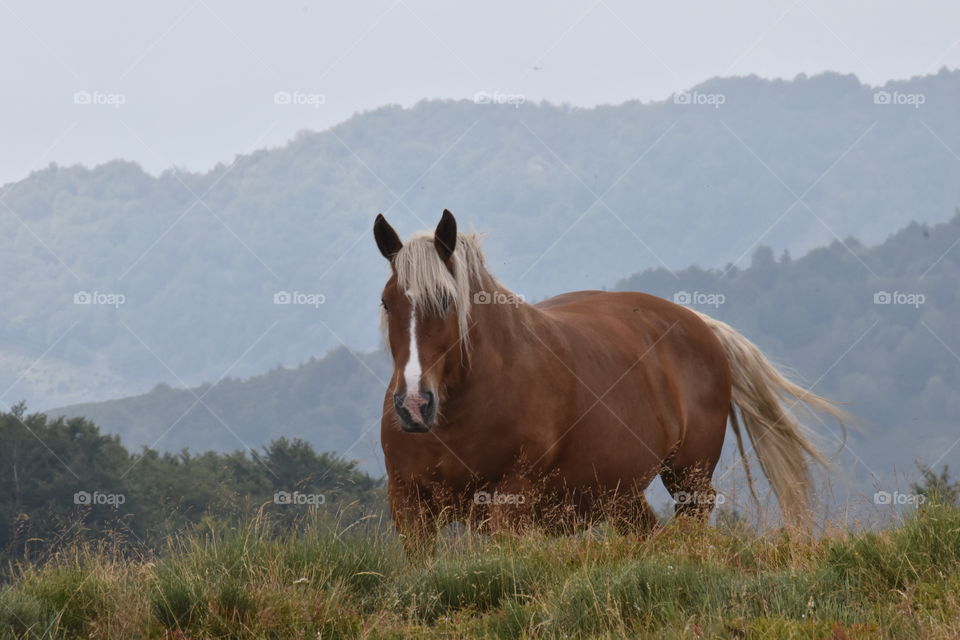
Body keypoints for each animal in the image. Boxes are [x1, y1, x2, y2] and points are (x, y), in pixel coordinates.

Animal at [374, 210, 844, 552]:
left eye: (446, 301)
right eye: (386, 301)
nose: (414, 404)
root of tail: (700, 323)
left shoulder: (510, 502)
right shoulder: (408, 505)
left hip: (688, 478)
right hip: (622, 495)